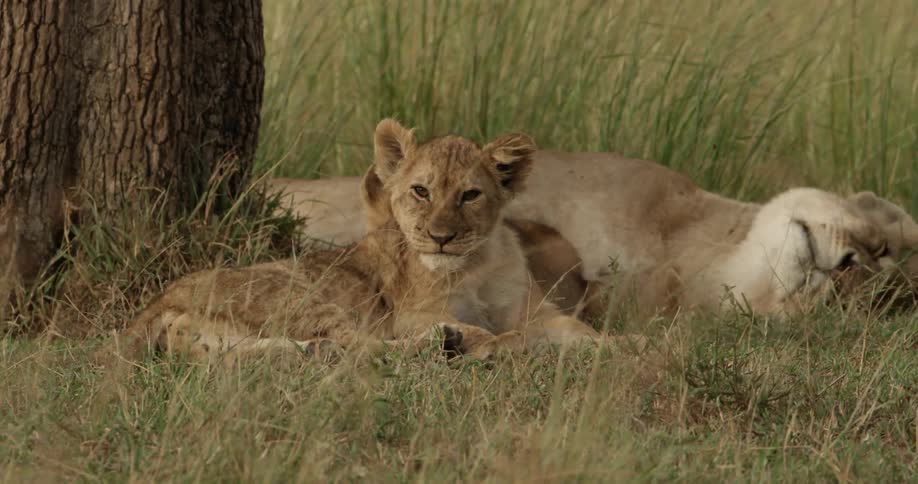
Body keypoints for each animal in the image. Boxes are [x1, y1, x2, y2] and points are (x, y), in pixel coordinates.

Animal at [109, 120, 599, 364]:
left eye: (470, 195)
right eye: (420, 191)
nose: (440, 238)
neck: (477, 262)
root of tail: (159, 300)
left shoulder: (533, 309)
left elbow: (579, 330)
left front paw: (612, 347)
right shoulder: (410, 315)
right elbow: (505, 332)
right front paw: (507, 342)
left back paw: (311, 352)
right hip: (306, 295)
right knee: (363, 345)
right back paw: (452, 343)